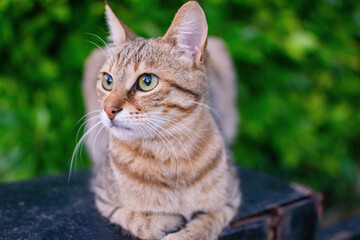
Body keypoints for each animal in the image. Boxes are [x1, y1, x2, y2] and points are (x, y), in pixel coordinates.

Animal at [80, 0, 240, 239]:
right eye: (108, 81)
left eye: (147, 81)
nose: (108, 109)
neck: (168, 154)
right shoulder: (105, 200)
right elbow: (139, 219)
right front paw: (165, 220)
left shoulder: (230, 201)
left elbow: (205, 224)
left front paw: (186, 231)